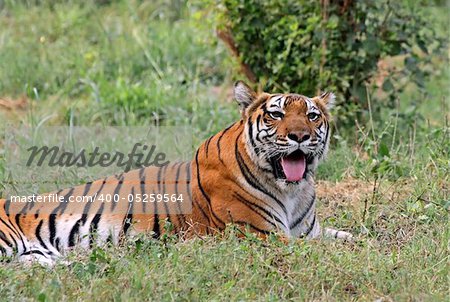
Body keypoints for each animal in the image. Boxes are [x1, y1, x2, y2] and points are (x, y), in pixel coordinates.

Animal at [0, 81, 352, 264]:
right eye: (276, 115)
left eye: (312, 116)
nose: (299, 136)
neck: (292, 190)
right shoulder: (263, 235)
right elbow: (337, 249)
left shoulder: (308, 232)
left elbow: (351, 238)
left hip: (39, 258)